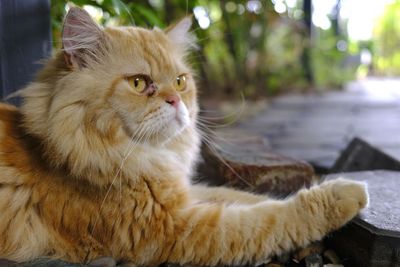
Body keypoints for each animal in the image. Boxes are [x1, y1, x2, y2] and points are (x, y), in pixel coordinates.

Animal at [0, 6, 368, 267]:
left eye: (179, 82)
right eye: (138, 83)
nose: (175, 101)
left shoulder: (183, 196)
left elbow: (246, 198)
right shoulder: (176, 228)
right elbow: (272, 218)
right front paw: (344, 194)